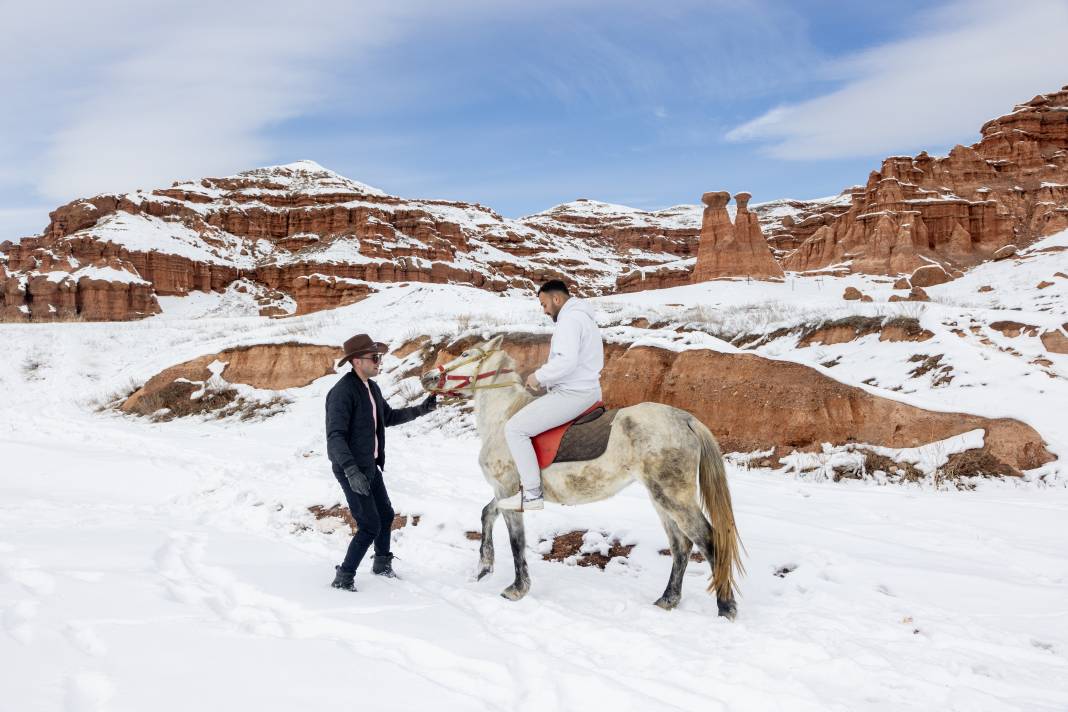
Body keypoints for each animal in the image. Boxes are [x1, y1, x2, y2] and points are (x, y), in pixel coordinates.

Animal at [418, 335, 743, 619]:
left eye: (464, 354)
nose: (428, 378)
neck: (503, 419)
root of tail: (685, 419)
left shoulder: (509, 491)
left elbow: (516, 541)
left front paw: (516, 589)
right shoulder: (506, 493)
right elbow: (487, 514)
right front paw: (484, 566)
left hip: (673, 496)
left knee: (709, 541)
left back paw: (725, 607)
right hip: (661, 498)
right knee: (681, 546)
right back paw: (668, 599)